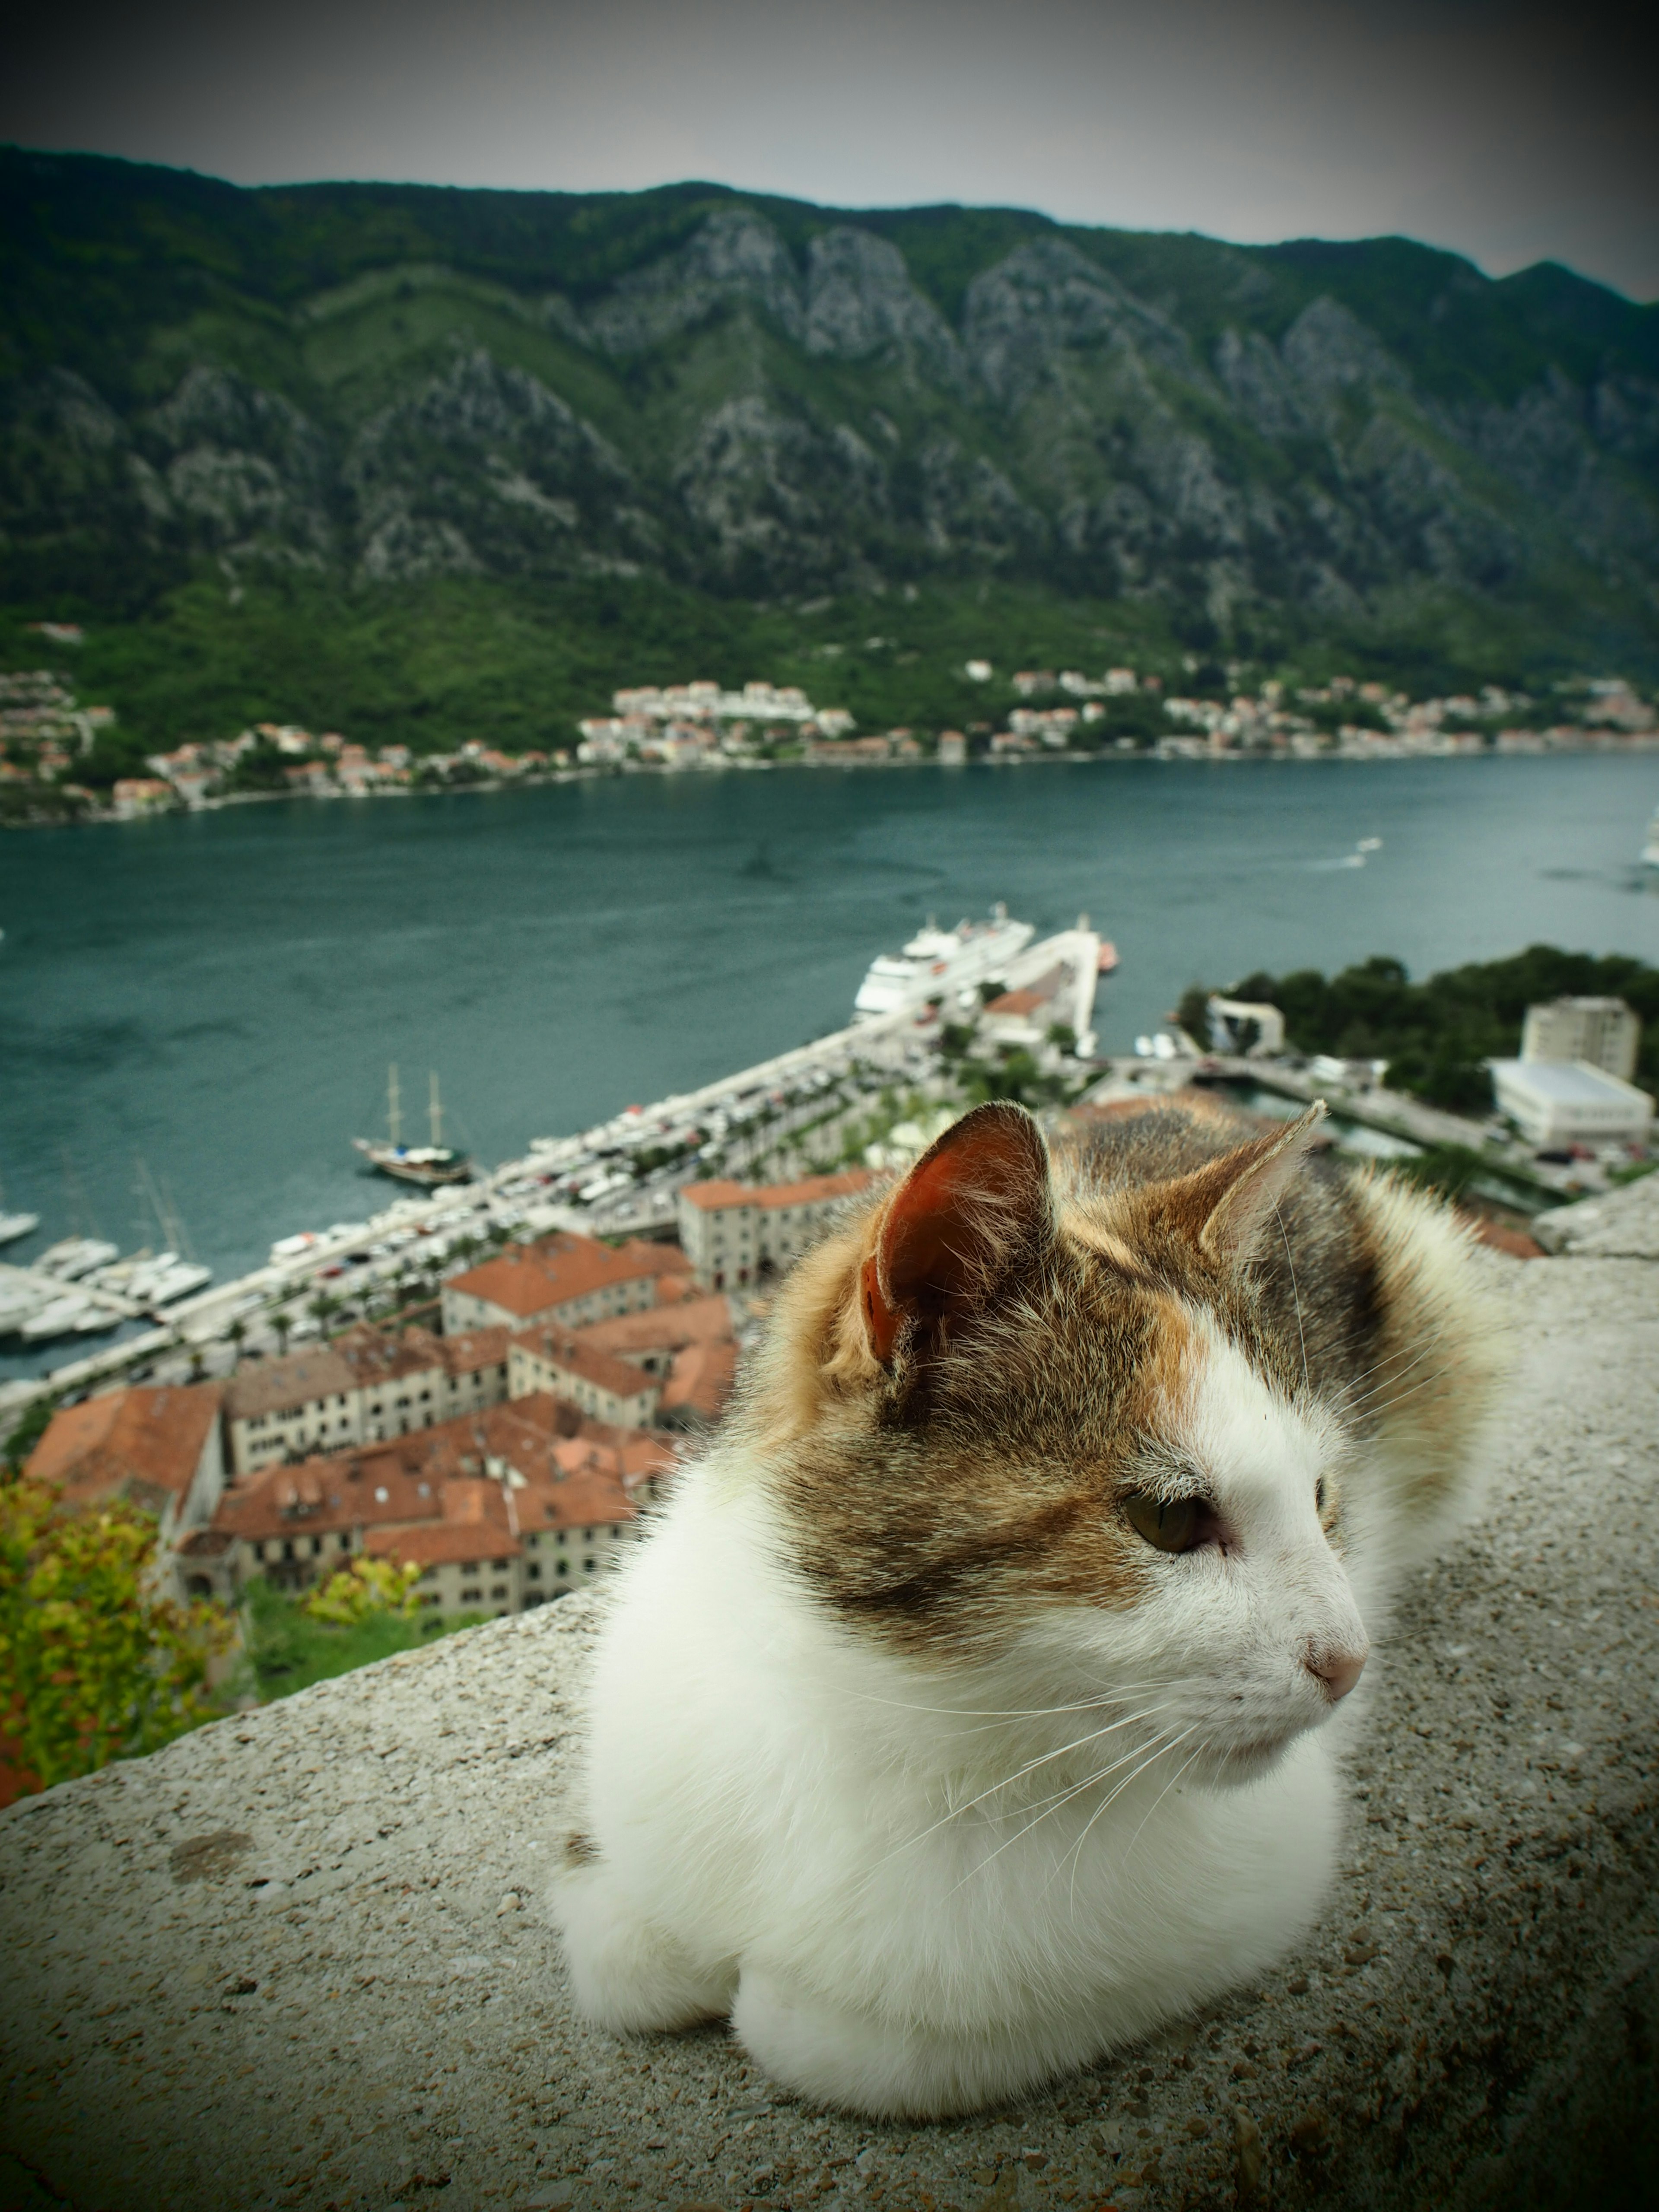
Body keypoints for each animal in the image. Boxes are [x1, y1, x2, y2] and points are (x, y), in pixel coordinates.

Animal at [559, 1097, 1504, 2114]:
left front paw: (785, 2007)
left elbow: (851, 2045)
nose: (1349, 1661)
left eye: (1323, 1494)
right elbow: (618, 1956)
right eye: (1169, 1517)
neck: (874, 1714)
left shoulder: (1266, 1867)